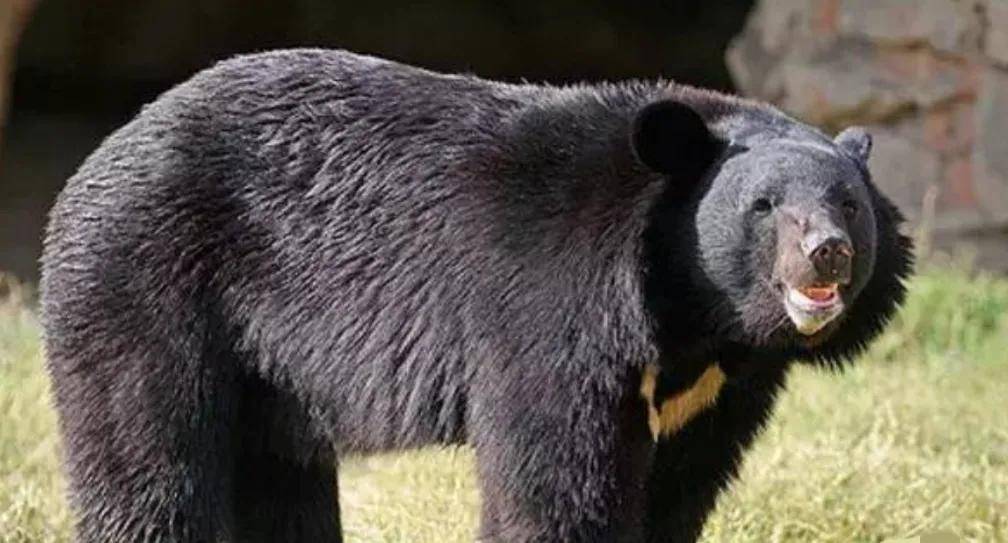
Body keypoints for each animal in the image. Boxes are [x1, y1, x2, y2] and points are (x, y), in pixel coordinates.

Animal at [40, 49, 912, 543]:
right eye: (765, 206)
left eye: (848, 205)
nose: (826, 252)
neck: (696, 318)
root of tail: (96, 159)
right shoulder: (554, 303)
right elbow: (555, 474)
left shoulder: (721, 387)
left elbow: (679, 485)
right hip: (147, 283)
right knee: (147, 451)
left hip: (262, 368)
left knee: (277, 479)